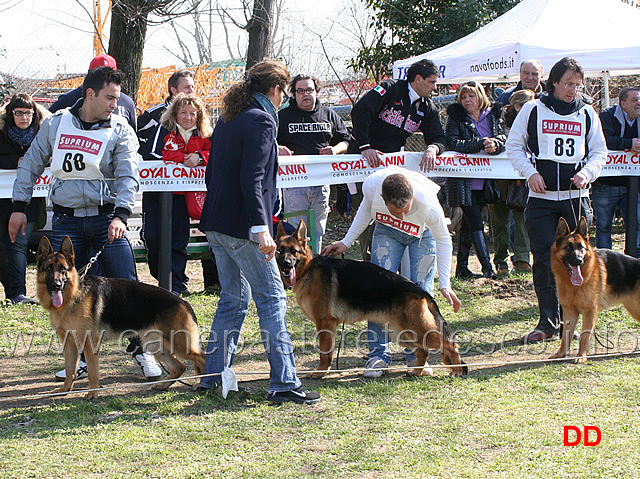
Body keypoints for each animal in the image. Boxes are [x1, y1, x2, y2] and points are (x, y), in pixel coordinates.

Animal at [38, 234, 202, 400]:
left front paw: (92, 393)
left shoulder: (90, 345)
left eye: (63, 270)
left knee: (201, 358)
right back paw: (164, 385)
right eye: (49, 268)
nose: (56, 285)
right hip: (155, 345)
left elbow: (92, 372)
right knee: (179, 367)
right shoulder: (70, 344)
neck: (74, 295)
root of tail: (184, 302)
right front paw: (65, 389)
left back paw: (201, 385)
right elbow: (70, 370)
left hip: (180, 345)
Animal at [274, 220, 464, 378]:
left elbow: (324, 353)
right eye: (280, 251)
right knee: (423, 351)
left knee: (449, 344)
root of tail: (422, 292)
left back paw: (457, 370)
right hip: (402, 333)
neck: (308, 270)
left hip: (413, 330)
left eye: (294, 251)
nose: (286, 265)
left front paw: (320, 372)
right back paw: (417, 372)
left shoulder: (324, 323)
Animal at [548, 218, 640, 364]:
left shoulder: (589, 312)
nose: (578, 261)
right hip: (634, 309)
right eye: (568, 247)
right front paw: (561, 354)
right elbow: (566, 336)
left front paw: (581, 356)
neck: (574, 285)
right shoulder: (569, 312)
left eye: (581, 247)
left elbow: (585, 336)